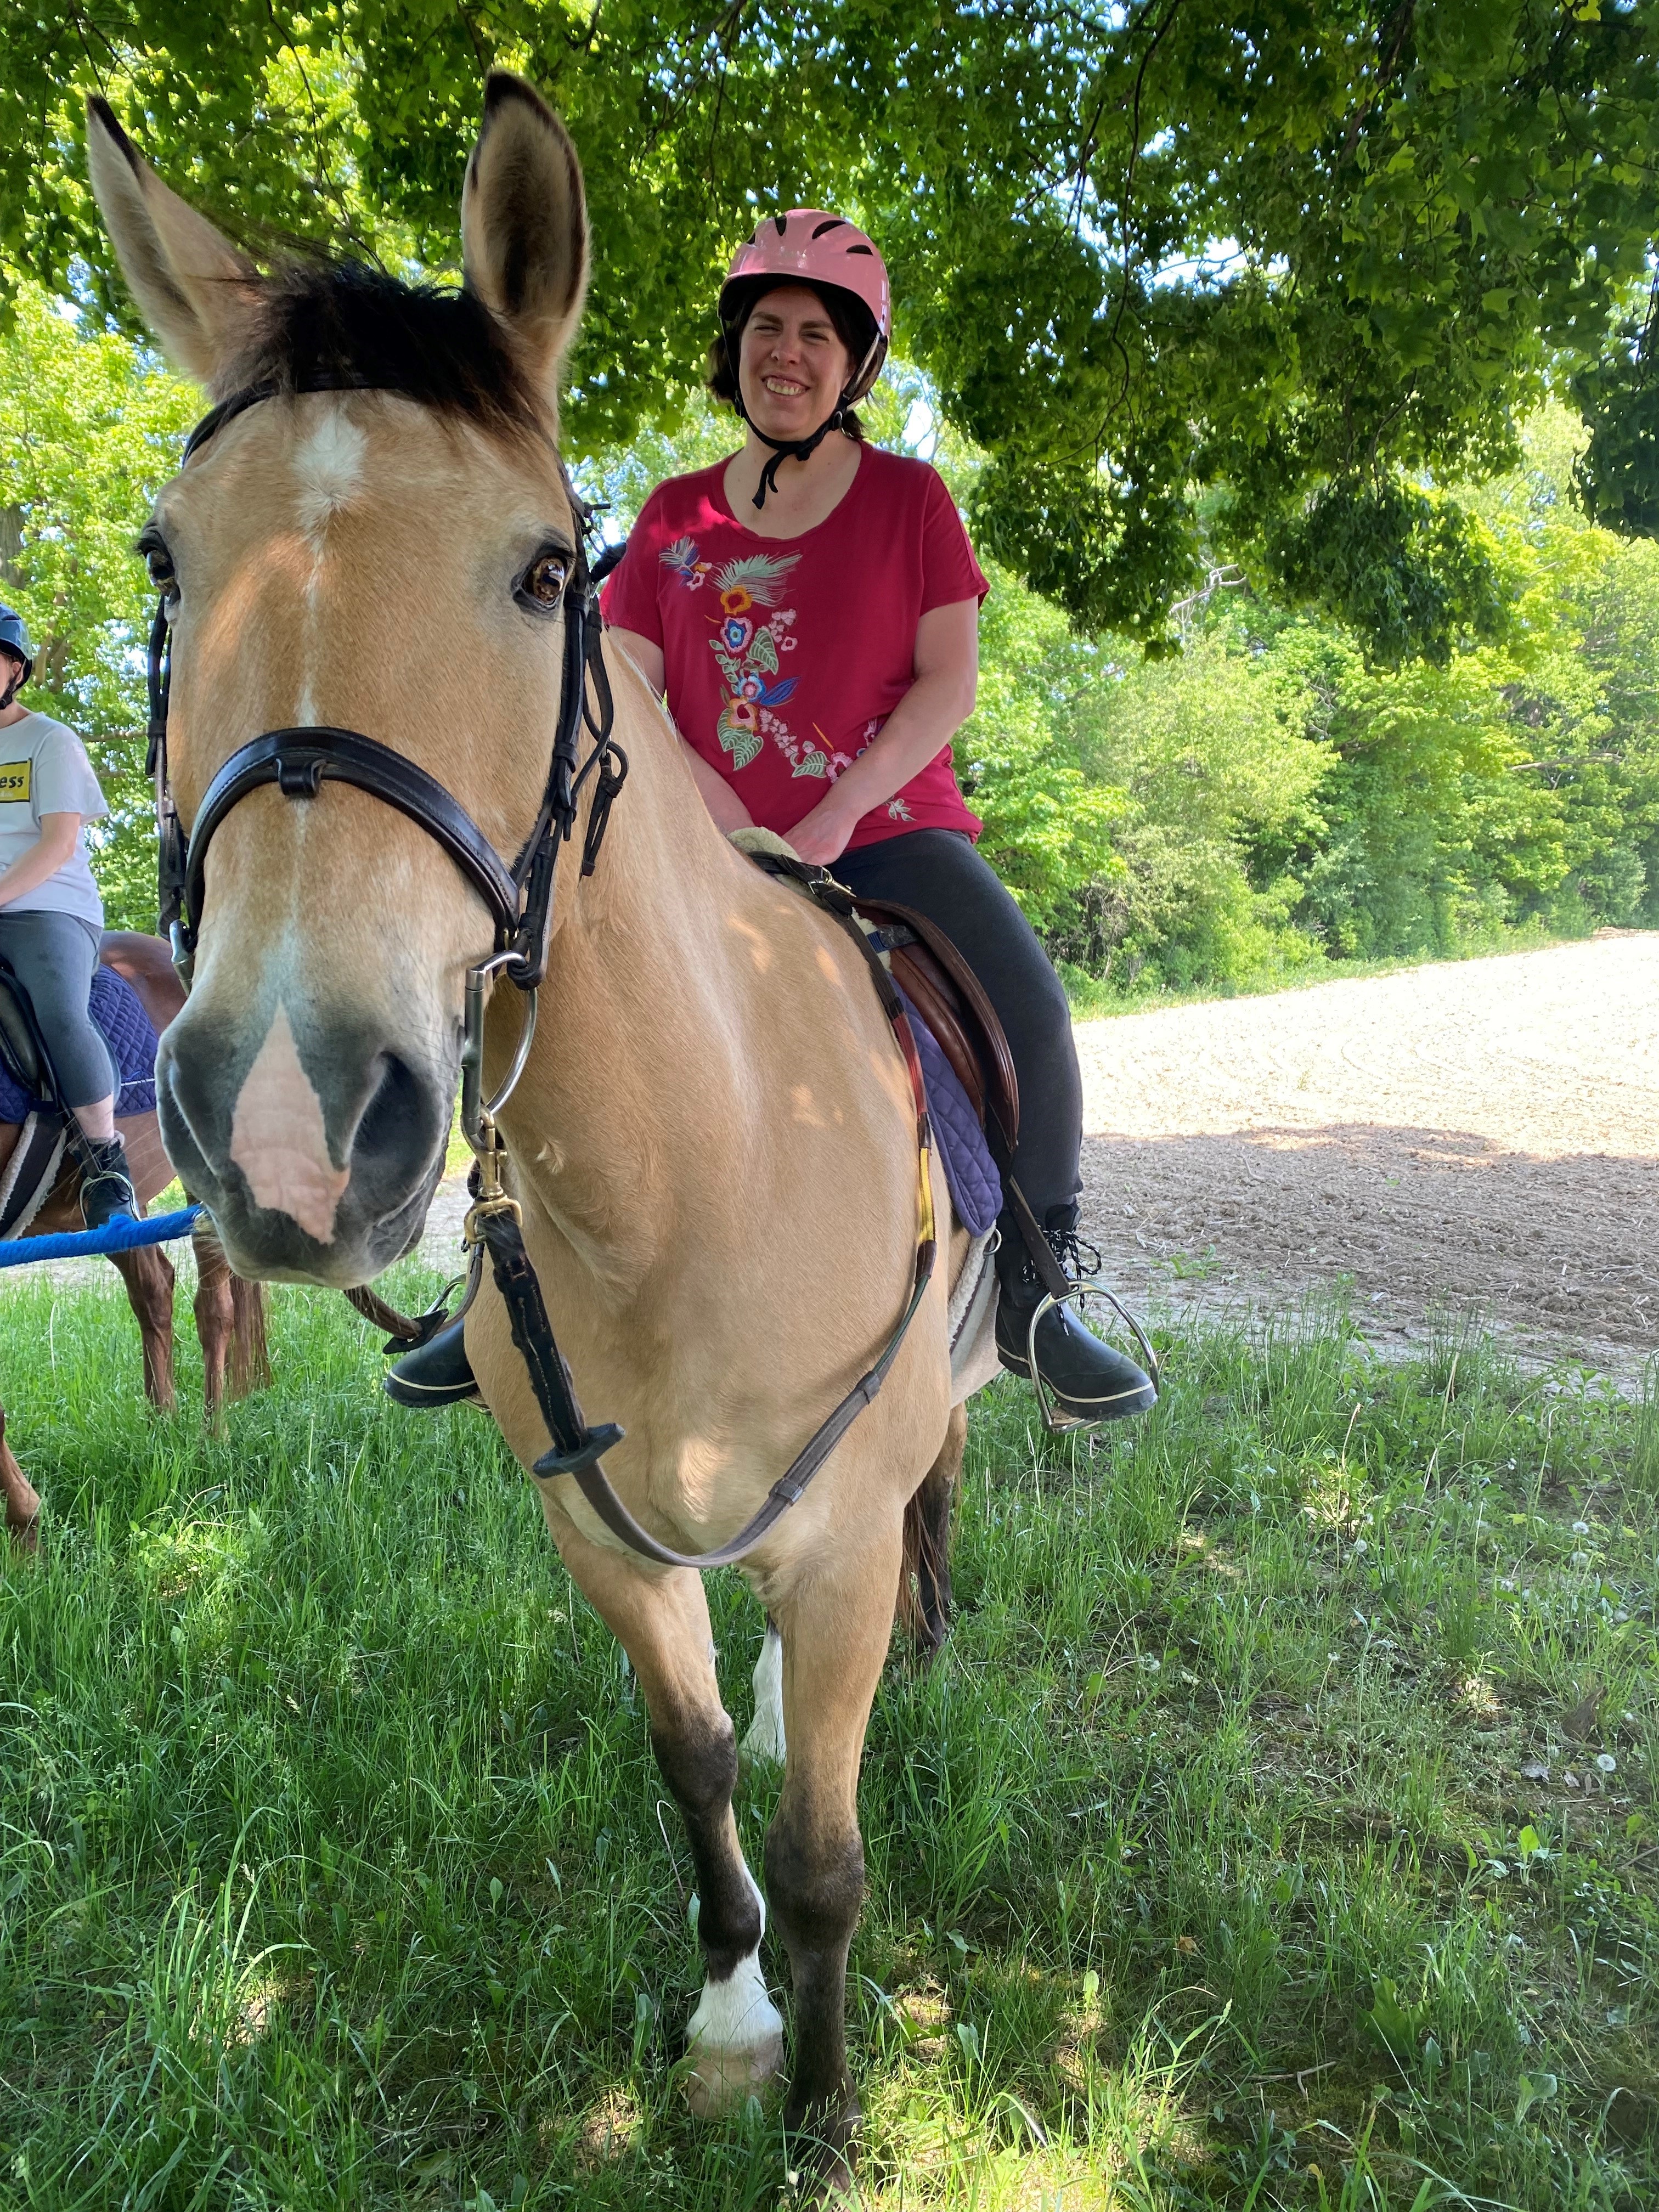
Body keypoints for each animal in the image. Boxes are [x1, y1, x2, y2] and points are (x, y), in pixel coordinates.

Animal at [88, 78, 986, 2185]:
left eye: (540, 574)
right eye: (165, 563)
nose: (294, 1119)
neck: (691, 1185)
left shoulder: (833, 1540)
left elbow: (825, 1855)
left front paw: (828, 2117)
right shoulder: (598, 1533)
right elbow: (699, 1766)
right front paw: (732, 2031)